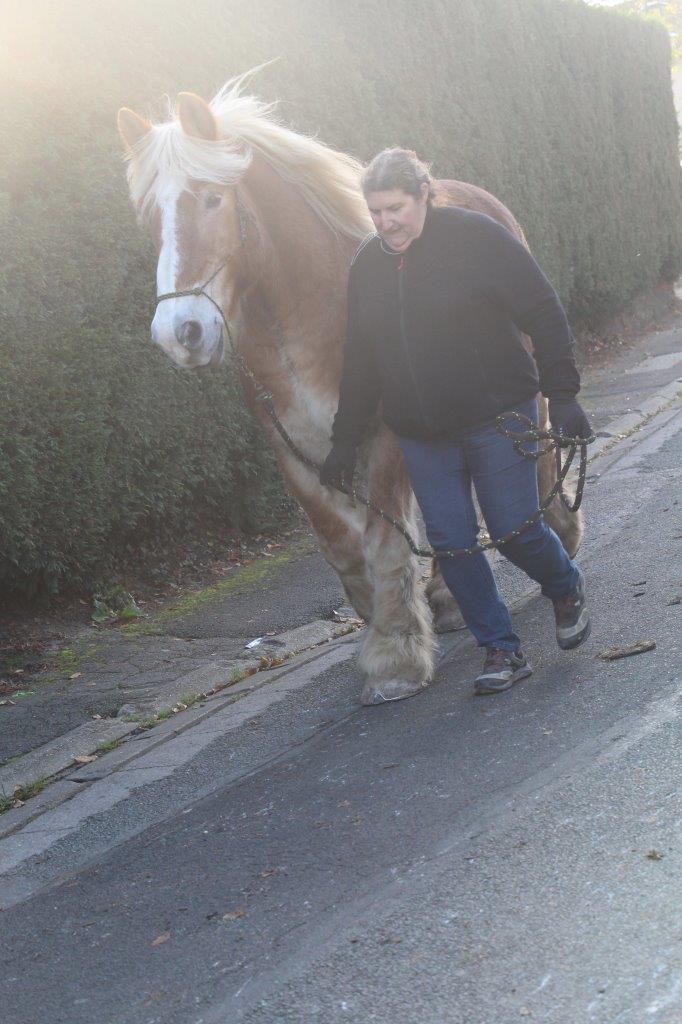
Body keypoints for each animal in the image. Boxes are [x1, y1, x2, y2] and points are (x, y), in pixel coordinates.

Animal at [115, 72, 577, 708]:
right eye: (150, 220)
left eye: (210, 198)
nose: (178, 333)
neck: (301, 311)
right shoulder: (297, 450)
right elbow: (343, 543)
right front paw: (385, 625)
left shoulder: (383, 436)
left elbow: (384, 541)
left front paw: (395, 658)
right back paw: (448, 599)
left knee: (538, 454)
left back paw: (560, 533)